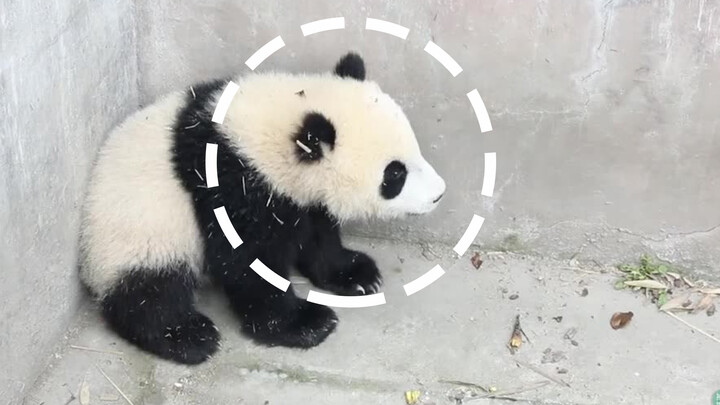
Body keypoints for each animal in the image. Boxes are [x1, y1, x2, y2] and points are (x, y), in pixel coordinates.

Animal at [79, 52, 444, 364]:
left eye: (414, 149)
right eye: (395, 174)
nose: (439, 194)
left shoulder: (292, 194)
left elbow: (317, 234)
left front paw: (356, 273)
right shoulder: (229, 185)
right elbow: (248, 262)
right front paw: (306, 323)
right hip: (140, 228)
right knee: (151, 289)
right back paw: (188, 335)